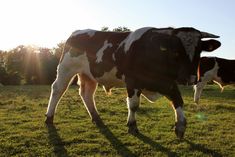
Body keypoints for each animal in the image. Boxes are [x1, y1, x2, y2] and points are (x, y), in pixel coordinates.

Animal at [45, 27, 220, 139]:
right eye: (176, 51)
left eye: (199, 50)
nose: (189, 77)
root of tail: (77, 32)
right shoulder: (132, 81)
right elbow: (134, 105)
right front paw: (132, 125)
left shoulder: (169, 83)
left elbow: (178, 100)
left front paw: (180, 126)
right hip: (66, 68)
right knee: (57, 89)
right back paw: (49, 117)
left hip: (89, 75)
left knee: (86, 94)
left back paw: (96, 117)